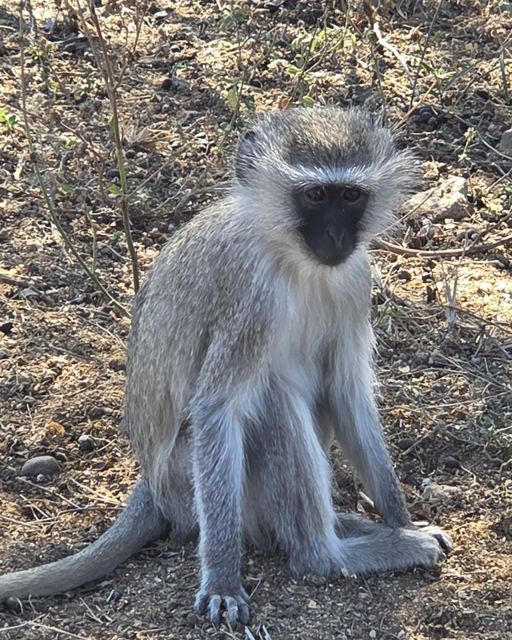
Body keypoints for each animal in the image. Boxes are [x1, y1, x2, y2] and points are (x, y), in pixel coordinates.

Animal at [0, 107, 452, 626]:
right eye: (315, 195)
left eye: (351, 196)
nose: (336, 237)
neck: (291, 256)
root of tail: (152, 485)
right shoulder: (248, 297)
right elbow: (218, 409)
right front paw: (221, 579)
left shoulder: (355, 278)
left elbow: (347, 395)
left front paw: (403, 520)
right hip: (186, 480)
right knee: (271, 402)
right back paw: (330, 554)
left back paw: (352, 527)